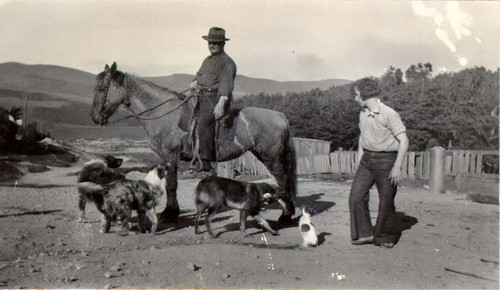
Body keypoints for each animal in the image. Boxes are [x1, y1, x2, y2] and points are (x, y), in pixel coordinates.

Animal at [90, 61, 296, 224]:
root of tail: (280, 116)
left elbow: (171, 185)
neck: (161, 113)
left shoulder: (170, 155)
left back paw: (285, 217)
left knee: (283, 181)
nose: (94, 117)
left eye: (101, 88)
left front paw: (170, 213)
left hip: (271, 158)